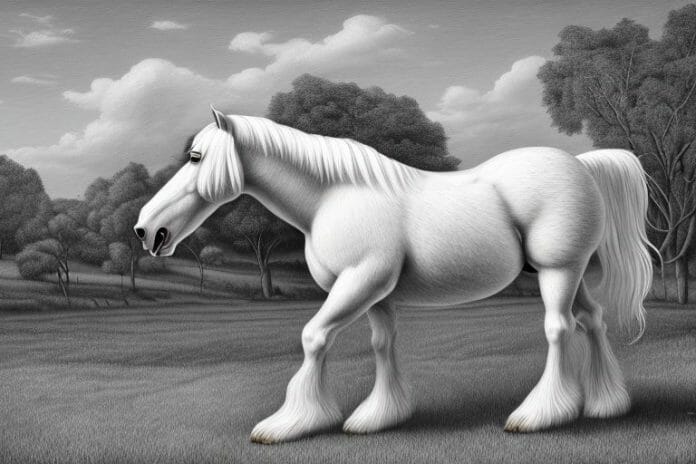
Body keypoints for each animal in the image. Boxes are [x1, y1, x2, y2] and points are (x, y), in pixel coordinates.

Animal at [135, 106, 654, 444]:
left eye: (197, 157)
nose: (146, 231)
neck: (334, 196)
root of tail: (580, 164)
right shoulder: (376, 293)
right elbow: (382, 345)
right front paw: (379, 417)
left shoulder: (359, 283)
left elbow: (313, 338)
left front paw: (291, 423)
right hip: (572, 274)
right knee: (593, 320)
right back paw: (606, 404)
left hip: (557, 271)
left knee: (558, 328)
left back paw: (538, 415)